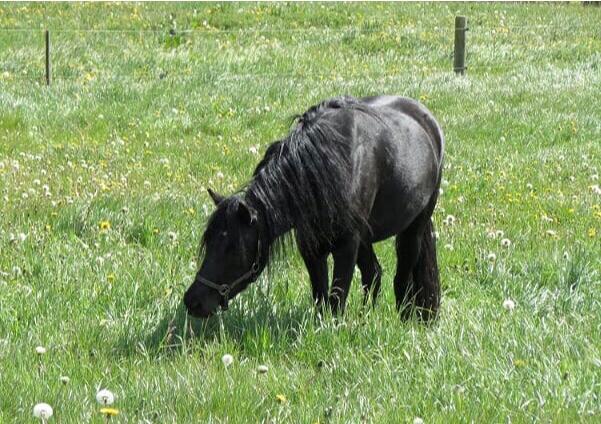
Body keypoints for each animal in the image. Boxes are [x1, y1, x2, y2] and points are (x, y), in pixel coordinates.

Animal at [185, 96, 442, 320]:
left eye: (233, 250)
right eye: (209, 243)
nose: (192, 301)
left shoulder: (347, 247)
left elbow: (337, 299)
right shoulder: (311, 250)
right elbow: (321, 299)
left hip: (413, 228)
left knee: (402, 280)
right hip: (366, 238)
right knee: (373, 274)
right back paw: (364, 319)